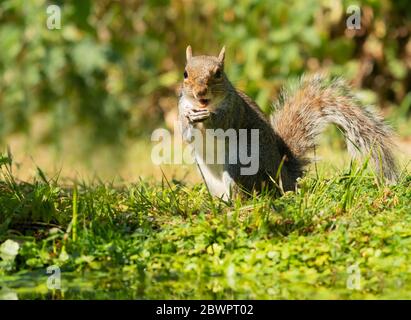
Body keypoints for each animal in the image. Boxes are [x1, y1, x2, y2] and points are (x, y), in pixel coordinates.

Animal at [178, 46, 400, 199]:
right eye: (185, 74)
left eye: (218, 74)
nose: (200, 92)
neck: (205, 105)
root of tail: (285, 179)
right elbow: (185, 134)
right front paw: (188, 119)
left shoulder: (235, 111)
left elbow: (222, 125)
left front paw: (208, 117)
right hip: (208, 176)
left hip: (240, 166)